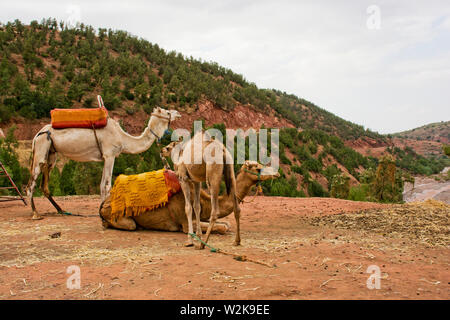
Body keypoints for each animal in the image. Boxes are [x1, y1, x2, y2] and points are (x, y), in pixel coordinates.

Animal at [26, 106, 179, 219]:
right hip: (41, 147)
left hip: (51, 153)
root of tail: (37, 134)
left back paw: (61, 210)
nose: (178, 113)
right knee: (31, 184)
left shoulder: (106, 157)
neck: (123, 138)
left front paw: (102, 210)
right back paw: (35, 213)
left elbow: (101, 185)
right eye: (167, 111)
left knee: (44, 184)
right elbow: (107, 185)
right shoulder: (110, 155)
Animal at [100, 160, 280, 238]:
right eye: (258, 167)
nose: (277, 173)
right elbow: (223, 227)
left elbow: (226, 224)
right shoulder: (185, 223)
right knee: (129, 225)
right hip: (120, 216)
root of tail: (103, 204)